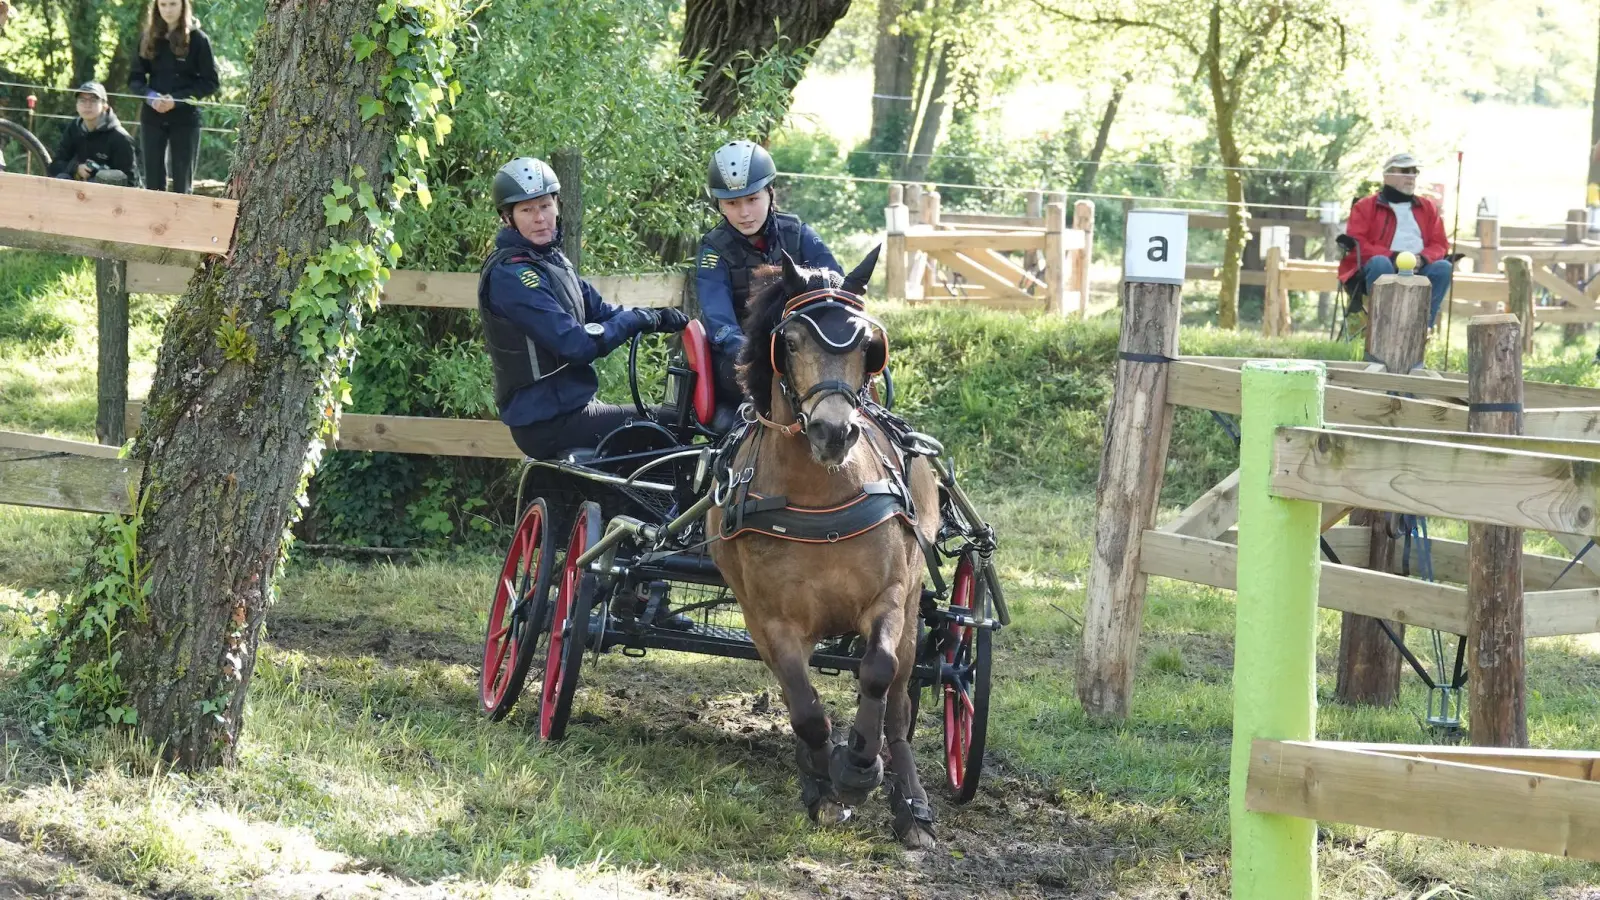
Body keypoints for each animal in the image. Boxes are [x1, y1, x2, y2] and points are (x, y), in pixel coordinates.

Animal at [710, 248, 940, 845]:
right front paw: (826, 782)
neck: (821, 498)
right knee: (797, 697)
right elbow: (806, 708)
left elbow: (878, 672)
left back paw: (911, 805)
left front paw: (859, 766)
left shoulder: (889, 597)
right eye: (789, 342)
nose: (834, 432)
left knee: (898, 702)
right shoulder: (772, 620)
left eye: (867, 346)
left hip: (914, 612)